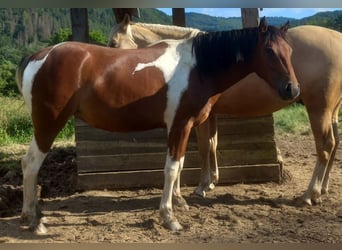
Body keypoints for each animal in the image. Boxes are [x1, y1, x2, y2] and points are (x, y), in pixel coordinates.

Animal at [17, 17, 298, 232]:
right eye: (269, 51)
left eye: (290, 51)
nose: (292, 89)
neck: (196, 66)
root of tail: (39, 56)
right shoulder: (180, 125)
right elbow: (172, 169)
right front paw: (169, 218)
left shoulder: (184, 127)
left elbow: (181, 164)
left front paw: (179, 202)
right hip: (48, 124)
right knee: (31, 164)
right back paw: (34, 221)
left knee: (28, 164)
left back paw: (32, 215)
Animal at [109, 15, 342, 207]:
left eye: (112, 43)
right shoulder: (211, 115)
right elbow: (213, 144)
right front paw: (211, 182)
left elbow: (204, 147)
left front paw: (201, 186)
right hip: (331, 112)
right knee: (335, 143)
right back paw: (322, 189)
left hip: (318, 109)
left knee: (325, 146)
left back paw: (309, 195)